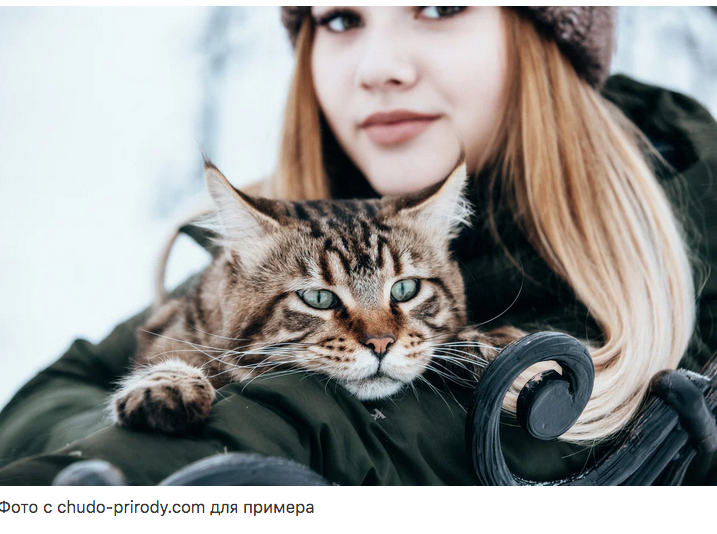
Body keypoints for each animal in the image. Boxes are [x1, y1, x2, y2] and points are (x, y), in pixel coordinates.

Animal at [113, 157, 524, 434]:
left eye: (405, 289)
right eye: (318, 298)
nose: (381, 343)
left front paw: (489, 344)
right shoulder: (168, 327)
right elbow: (172, 357)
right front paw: (165, 386)